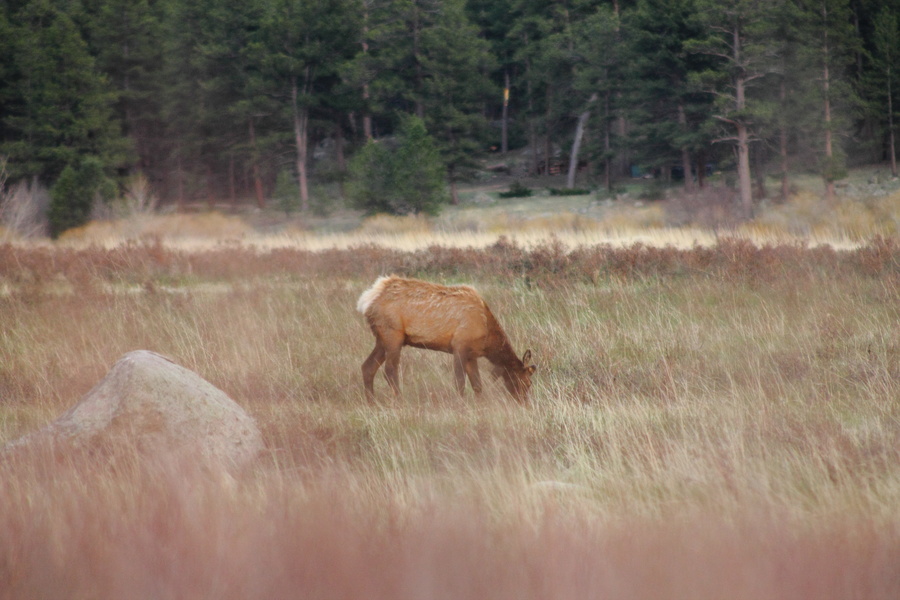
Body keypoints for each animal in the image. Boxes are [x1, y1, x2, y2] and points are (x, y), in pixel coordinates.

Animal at [357, 275, 537, 403]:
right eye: (528, 383)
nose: (525, 403)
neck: (487, 338)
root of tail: (367, 300)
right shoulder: (459, 345)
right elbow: (460, 382)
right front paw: (460, 405)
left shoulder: (472, 354)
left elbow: (477, 385)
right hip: (393, 334)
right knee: (389, 370)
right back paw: (399, 401)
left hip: (382, 339)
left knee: (367, 367)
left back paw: (371, 402)